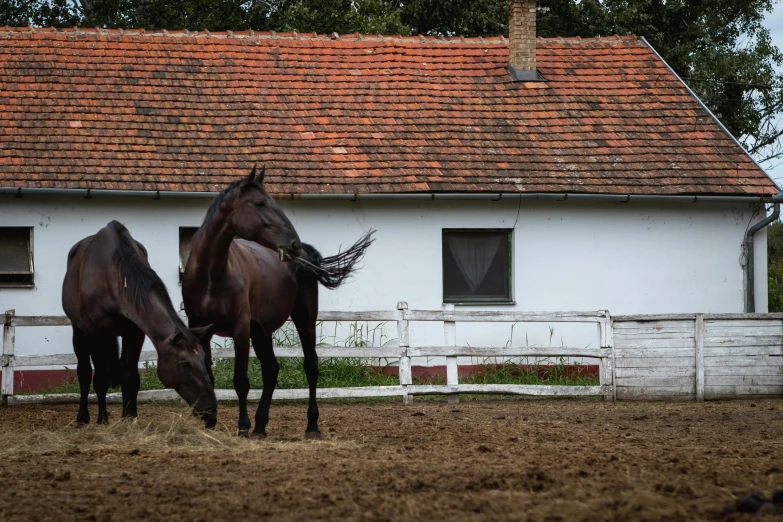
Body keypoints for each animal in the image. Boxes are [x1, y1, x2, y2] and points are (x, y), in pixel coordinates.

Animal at [62, 219, 217, 426]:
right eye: (184, 363)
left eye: (203, 358)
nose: (211, 411)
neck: (112, 277)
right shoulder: (94, 333)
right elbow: (100, 378)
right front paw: (102, 419)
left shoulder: (135, 333)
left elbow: (130, 375)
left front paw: (130, 416)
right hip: (79, 331)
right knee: (85, 372)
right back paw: (83, 417)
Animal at [184, 166, 374, 434]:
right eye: (260, 203)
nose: (293, 244)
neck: (212, 274)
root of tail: (306, 257)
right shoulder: (200, 328)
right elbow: (208, 377)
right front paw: (210, 424)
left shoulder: (240, 329)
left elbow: (240, 381)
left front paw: (242, 427)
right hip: (261, 331)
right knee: (271, 370)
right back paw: (261, 425)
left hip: (304, 320)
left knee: (311, 366)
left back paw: (311, 424)